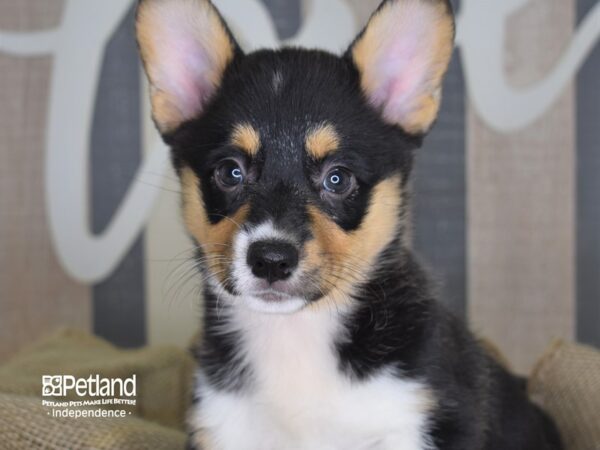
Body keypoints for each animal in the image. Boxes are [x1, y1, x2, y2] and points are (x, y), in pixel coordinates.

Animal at [135, 0, 564, 450]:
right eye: (230, 172)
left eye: (337, 178)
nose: (271, 259)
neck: (295, 336)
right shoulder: (223, 429)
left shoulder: (419, 422)